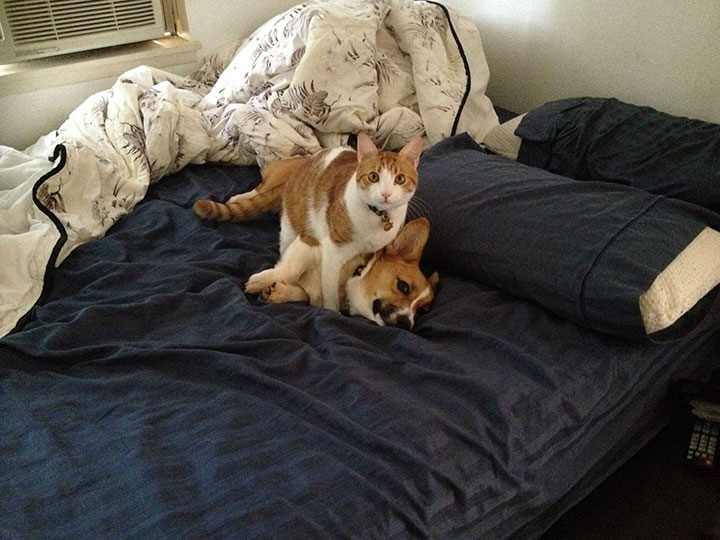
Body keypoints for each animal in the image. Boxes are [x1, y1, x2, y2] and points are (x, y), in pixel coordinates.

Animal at [194, 131, 424, 314]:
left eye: (400, 179)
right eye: (374, 177)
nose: (385, 194)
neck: (376, 216)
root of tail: (300, 170)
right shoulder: (331, 251)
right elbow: (326, 289)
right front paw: (331, 311)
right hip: (288, 221)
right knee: (260, 191)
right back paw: (239, 197)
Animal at [250, 218, 438, 330]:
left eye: (422, 310)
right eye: (403, 286)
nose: (406, 323)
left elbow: (303, 293)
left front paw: (279, 292)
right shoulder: (309, 242)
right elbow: (289, 270)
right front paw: (257, 282)